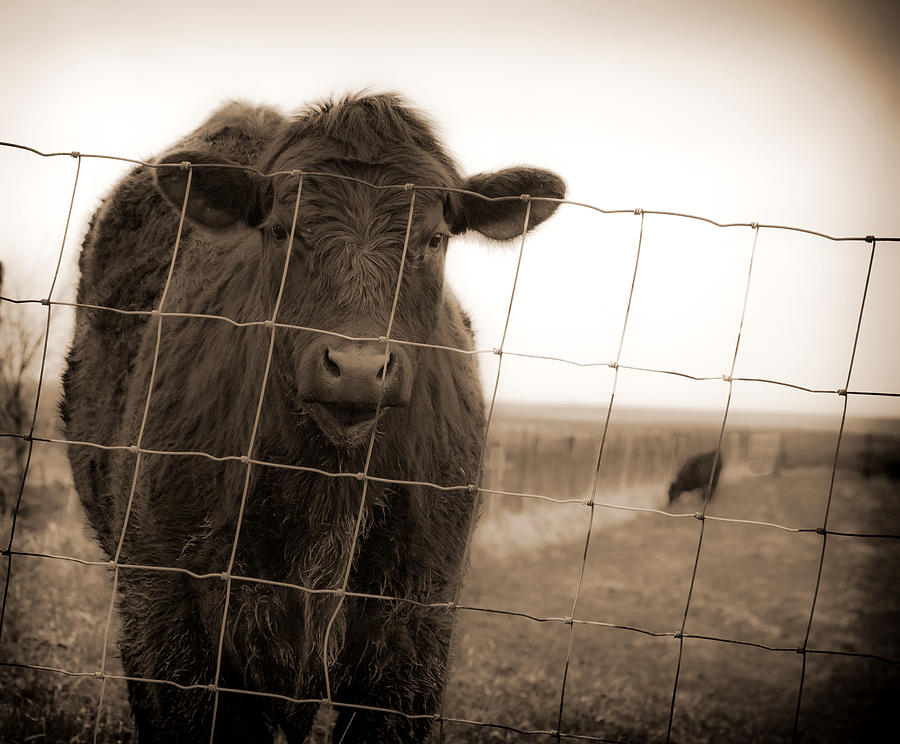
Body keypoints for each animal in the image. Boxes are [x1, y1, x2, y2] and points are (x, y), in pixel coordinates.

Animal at [63, 94, 568, 744]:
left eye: (434, 239)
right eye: (280, 230)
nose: (355, 368)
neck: (327, 486)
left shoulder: (414, 633)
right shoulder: (172, 615)